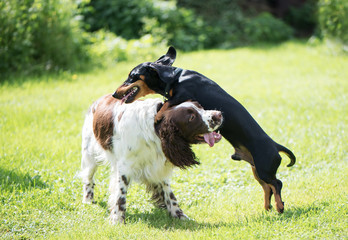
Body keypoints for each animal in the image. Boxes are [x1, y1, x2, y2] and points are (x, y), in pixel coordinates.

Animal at [80, 94, 222, 223]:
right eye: (191, 117)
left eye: (200, 106)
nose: (218, 114)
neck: (155, 129)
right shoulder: (124, 167)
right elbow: (120, 195)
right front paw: (117, 219)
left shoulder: (157, 166)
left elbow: (168, 193)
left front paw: (178, 214)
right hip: (90, 155)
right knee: (88, 178)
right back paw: (88, 200)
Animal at [113, 47, 294, 214]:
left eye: (132, 76)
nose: (114, 94)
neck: (176, 78)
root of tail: (275, 145)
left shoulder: (181, 96)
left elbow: (165, 106)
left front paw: (158, 116)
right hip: (257, 170)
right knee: (267, 187)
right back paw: (267, 207)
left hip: (264, 168)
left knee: (277, 184)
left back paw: (279, 207)